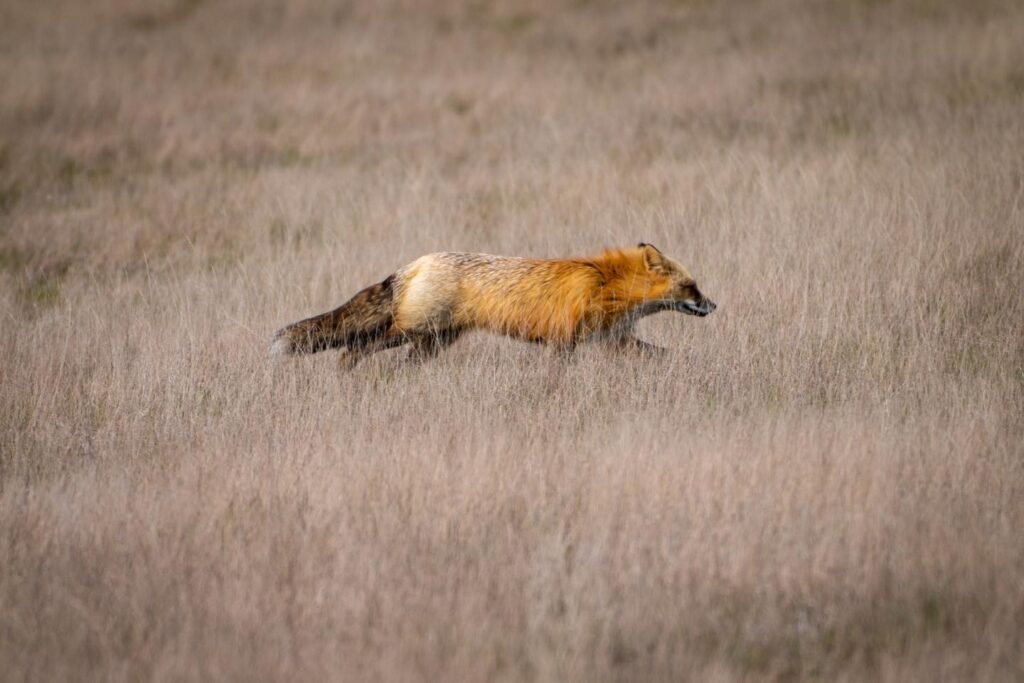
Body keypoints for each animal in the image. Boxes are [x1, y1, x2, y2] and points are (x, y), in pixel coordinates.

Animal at [270, 243, 716, 368]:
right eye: (691, 286)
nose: (714, 304)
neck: (607, 284)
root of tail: (415, 262)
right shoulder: (565, 343)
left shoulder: (614, 340)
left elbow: (670, 357)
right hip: (410, 332)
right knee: (351, 349)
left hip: (431, 344)